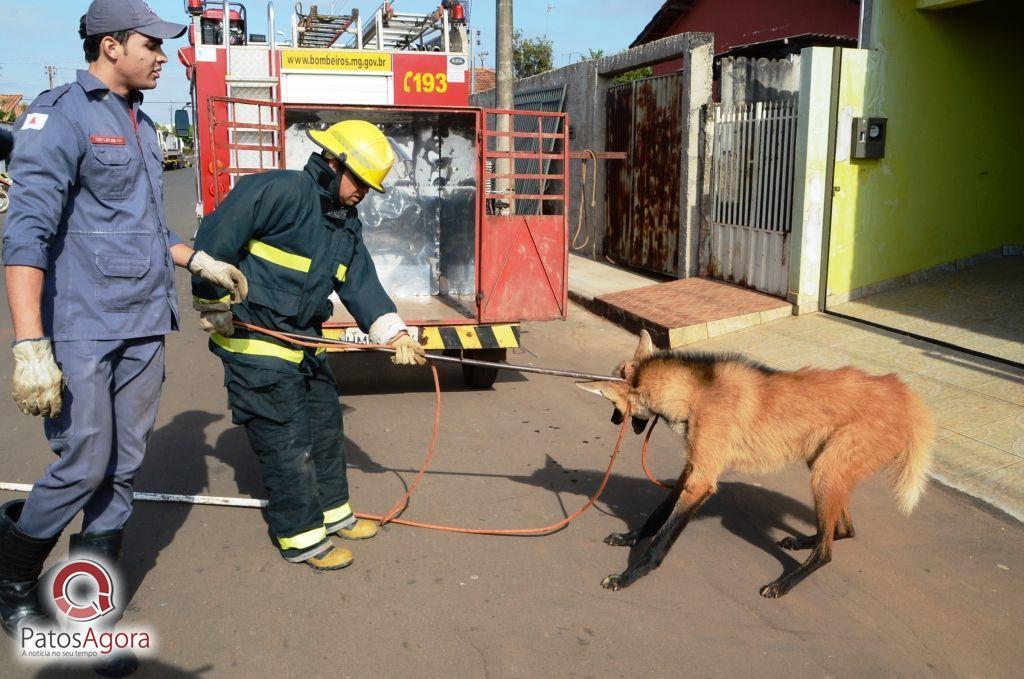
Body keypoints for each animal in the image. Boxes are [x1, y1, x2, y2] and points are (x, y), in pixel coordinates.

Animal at [581, 331, 933, 598]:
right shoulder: (692, 471)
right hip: (822, 467)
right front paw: (628, 538)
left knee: (827, 552)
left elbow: (660, 542)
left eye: (612, 404)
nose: (613, 421)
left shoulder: (701, 482)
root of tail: (901, 392)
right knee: (842, 529)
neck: (695, 394)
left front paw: (628, 576)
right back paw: (804, 541)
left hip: (824, 474)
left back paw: (784, 583)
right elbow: (655, 518)